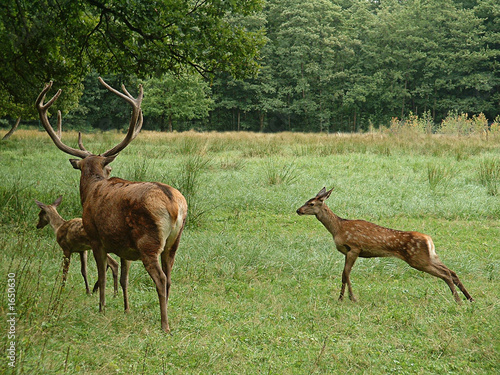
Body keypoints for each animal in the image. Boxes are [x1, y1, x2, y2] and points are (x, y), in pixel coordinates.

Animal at [35, 78, 188, 334]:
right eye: (108, 168)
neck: (90, 191)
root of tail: (173, 203)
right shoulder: (124, 247)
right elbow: (124, 278)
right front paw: (126, 309)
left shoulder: (97, 237)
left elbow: (103, 274)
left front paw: (101, 308)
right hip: (173, 243)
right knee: (170, 277)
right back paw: (167, 315)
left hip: (149, 241)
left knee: (160, 279)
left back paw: (164, 325)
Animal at [296, 187, 472, 302]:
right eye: (306, 201)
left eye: (311, 204)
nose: (298, 210)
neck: (338, 228)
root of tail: (428, 239)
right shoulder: (348, 252)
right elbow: (344, 274)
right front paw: (342, 298)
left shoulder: (354, 247)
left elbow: (345, 274)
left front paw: (350, 298)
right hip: (430, 256)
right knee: (451, 271)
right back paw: (469, 298)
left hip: (418, 259)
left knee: (445, 274)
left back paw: (458, 300)